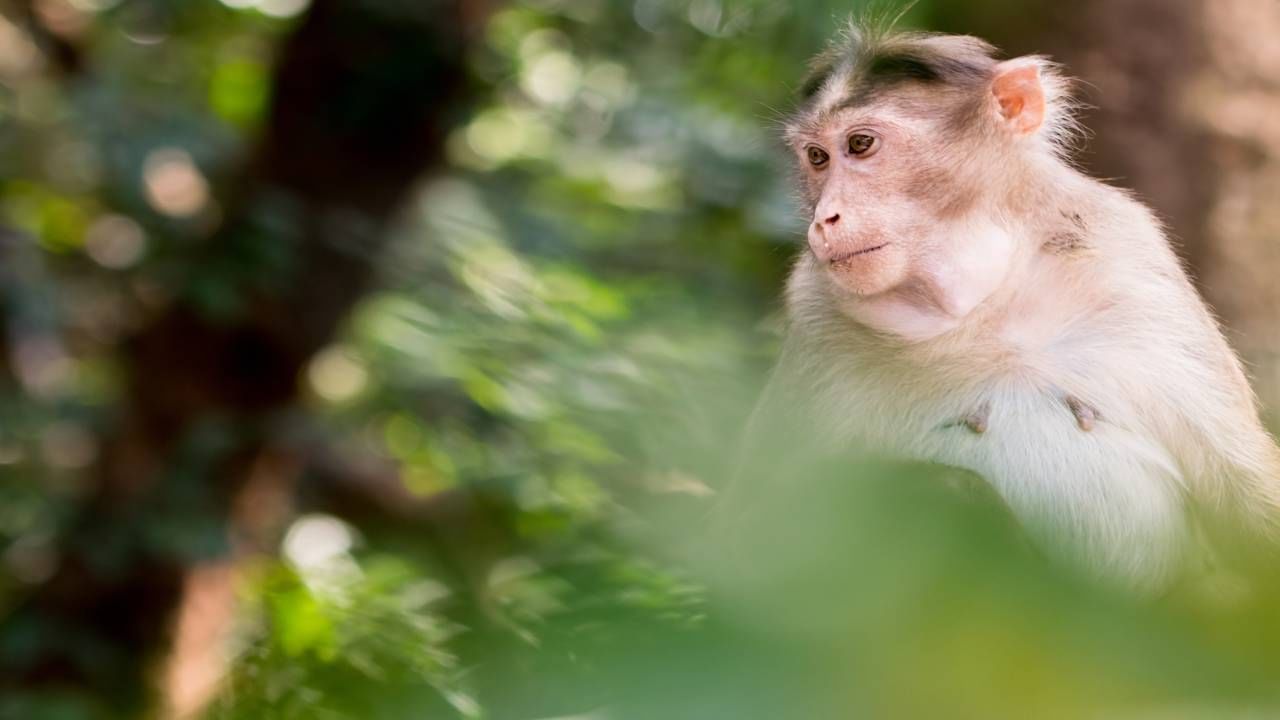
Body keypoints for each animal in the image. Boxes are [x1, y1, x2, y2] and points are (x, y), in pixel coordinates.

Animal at [742, 20, 1280, 594]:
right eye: (817, 158)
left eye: (860, 145)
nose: (825, 218)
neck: (982, 298)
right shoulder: (815, 309)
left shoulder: (1132, 261)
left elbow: (1246, 496)